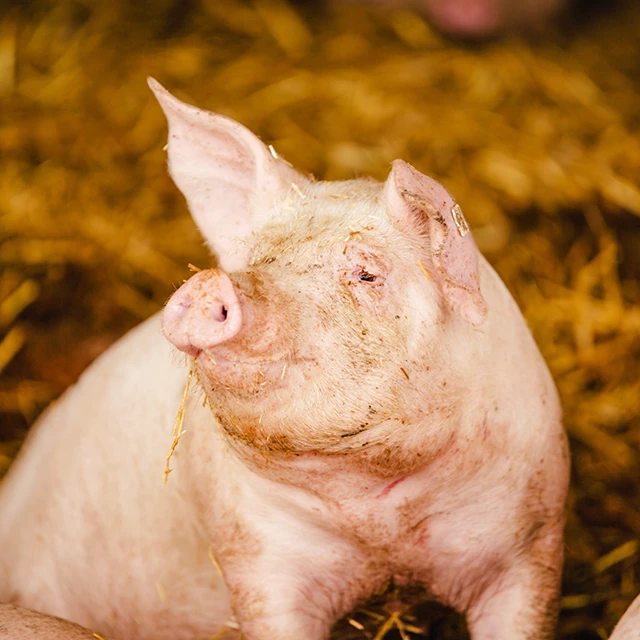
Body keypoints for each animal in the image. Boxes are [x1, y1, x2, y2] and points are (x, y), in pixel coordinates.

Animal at [0, 80, 568, 640]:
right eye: (256, 260)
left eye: (366, 273)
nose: (210, 283)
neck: (383, 526)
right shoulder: (253, 552)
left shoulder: (531, 540)